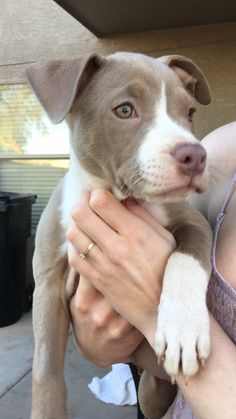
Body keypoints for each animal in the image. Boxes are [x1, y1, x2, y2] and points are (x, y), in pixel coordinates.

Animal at [27, 53, 212, 419]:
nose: (196, 156)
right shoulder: (47, 284)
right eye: (125, 110)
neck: (118, 197)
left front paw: (183, 330)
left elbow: (187, 257)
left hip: (151, 393)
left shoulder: (194, 221)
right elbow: (46, 372)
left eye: (189, 113)